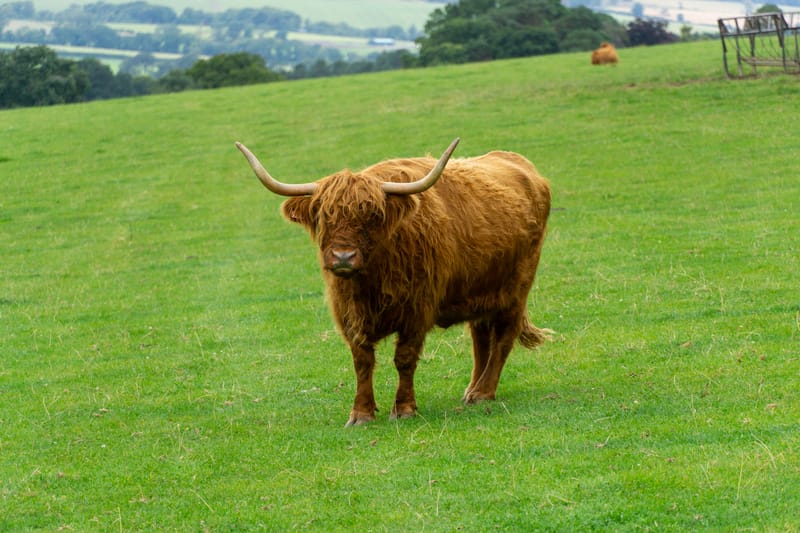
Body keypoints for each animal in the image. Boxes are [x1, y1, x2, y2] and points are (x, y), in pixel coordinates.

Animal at [235, 138, 552, 426]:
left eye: (372, 216)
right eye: (324, 216)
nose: (343, 257)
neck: (369, 284)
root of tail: (523, 167)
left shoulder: (417, 310)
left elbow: (404, 358)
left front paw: (403, 409)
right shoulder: (349, 314)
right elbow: (362, 362)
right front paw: (361, 413)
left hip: (515, 290)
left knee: (503, 338)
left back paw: (484, 392)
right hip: (481, 292)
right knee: (481, 337)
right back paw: (472, 390)